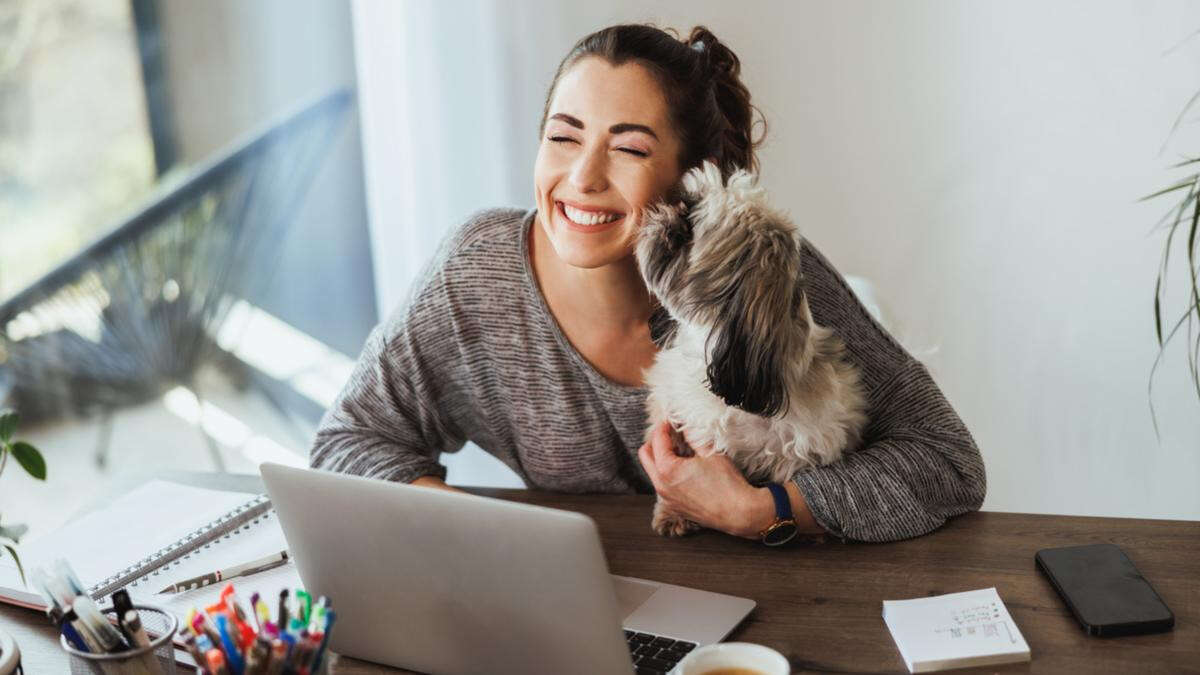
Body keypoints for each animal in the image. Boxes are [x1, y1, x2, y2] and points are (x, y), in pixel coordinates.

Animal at [633, 159, 868, 533]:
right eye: (686, 201)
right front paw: (672, 514)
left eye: (689, 226)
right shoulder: (673, 411)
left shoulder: (805, 446)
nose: (668, 211)